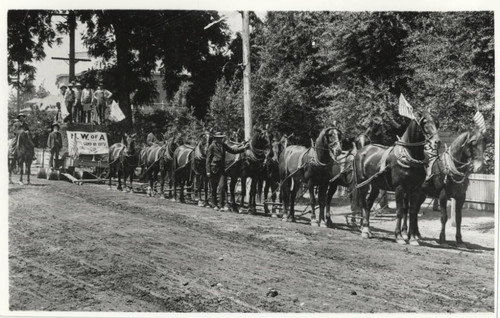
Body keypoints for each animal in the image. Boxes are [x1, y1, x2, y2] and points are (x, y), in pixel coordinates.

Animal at [352, 112, 442, 246]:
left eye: (436, 123)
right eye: (425, 123)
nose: (437, 142)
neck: (408, 156)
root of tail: (362, 150)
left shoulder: (415, 189)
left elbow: (412, 211)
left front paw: (413, 238)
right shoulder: (400, 188)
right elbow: (399, 211)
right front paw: (399, 236)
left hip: (375, 186)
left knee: (368, 204)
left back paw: (368, 229)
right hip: (363, 184)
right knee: (363, 204)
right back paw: (364, 229)